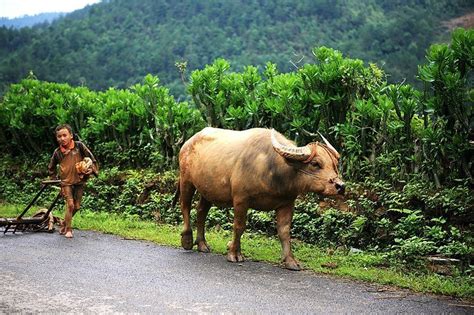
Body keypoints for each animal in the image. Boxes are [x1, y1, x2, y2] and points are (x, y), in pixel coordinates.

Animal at [174, 127, 344, 270]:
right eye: (315, 163)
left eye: (335, 164)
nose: (341, 186)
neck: (272, 170)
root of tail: (188, 143)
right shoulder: (240, 200)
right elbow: (239, 226)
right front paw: (234, 253)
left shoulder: (287, 203)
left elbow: (284, 231)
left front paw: (290, 261)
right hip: (186, 180)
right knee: (185, 206)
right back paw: (187, 240)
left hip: (208, 191)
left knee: (201, 211)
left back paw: (202, 244)